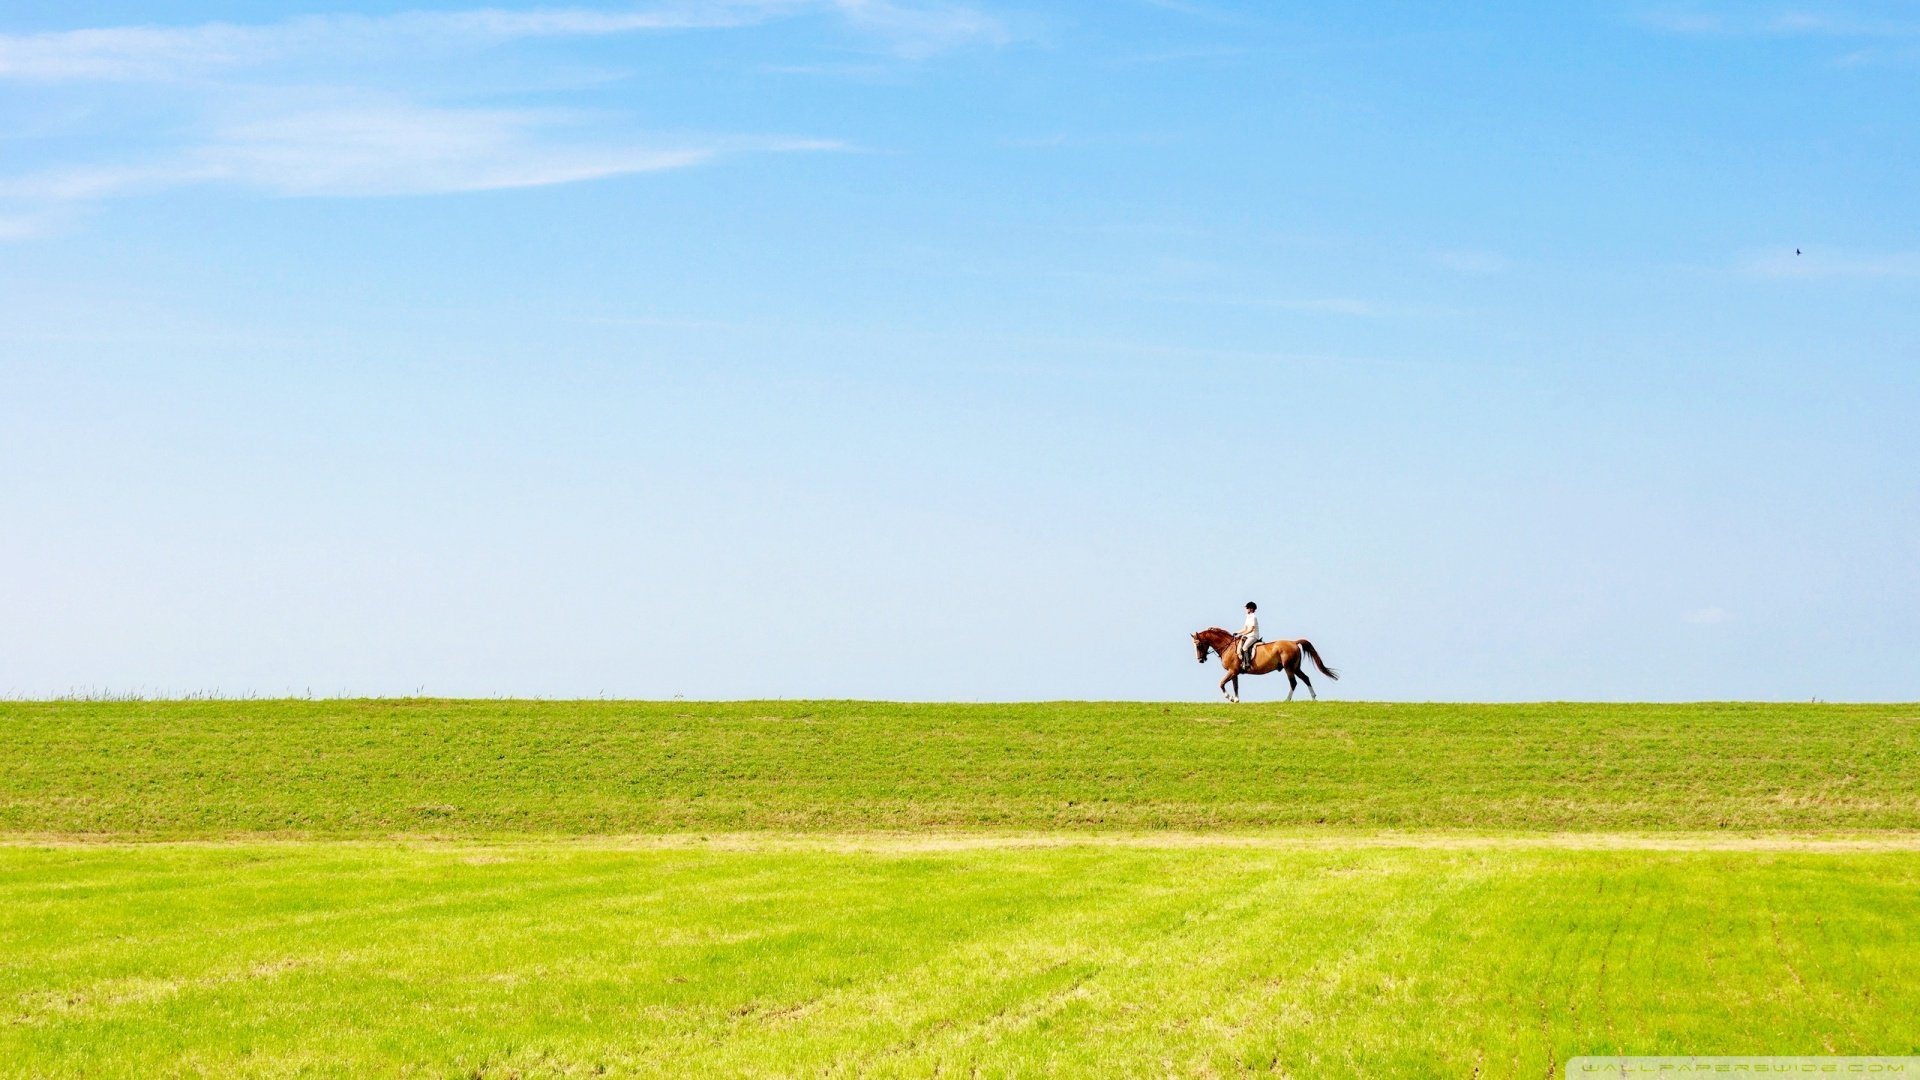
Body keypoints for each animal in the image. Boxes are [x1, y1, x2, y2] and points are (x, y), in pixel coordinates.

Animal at [1182, 626, 1336, 703]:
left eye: (1198, 644)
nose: (1200, 660)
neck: (1228, 646)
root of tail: (1293, 642)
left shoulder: (1232, 671)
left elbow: (1221, 684)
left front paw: (1230, 698)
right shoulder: (1235, 672)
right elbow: (1235, 686)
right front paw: (1236, 699)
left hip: (1288, 668)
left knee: (1294, 683)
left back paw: (1287, 700)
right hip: (1295, 667)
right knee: (1306, 678)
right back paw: (1313, 698)